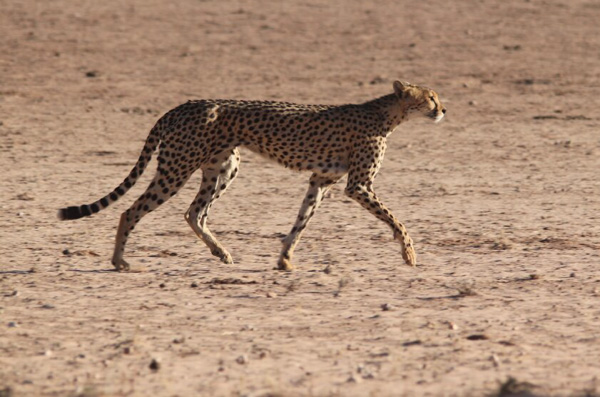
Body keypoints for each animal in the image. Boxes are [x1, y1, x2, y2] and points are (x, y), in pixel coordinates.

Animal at [58, 80, 448, 272]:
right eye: (430, 97)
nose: (444, 109)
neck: (387, 114)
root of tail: (182, 105)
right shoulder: (359, 185)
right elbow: (396, 219)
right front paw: (409, 253)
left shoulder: (320, 181)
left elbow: (300, 222)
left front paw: (284, 260)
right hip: (177, 167)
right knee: (132, 211)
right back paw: (119, 261)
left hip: (224, 166)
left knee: (194, 212)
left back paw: (221, 253)